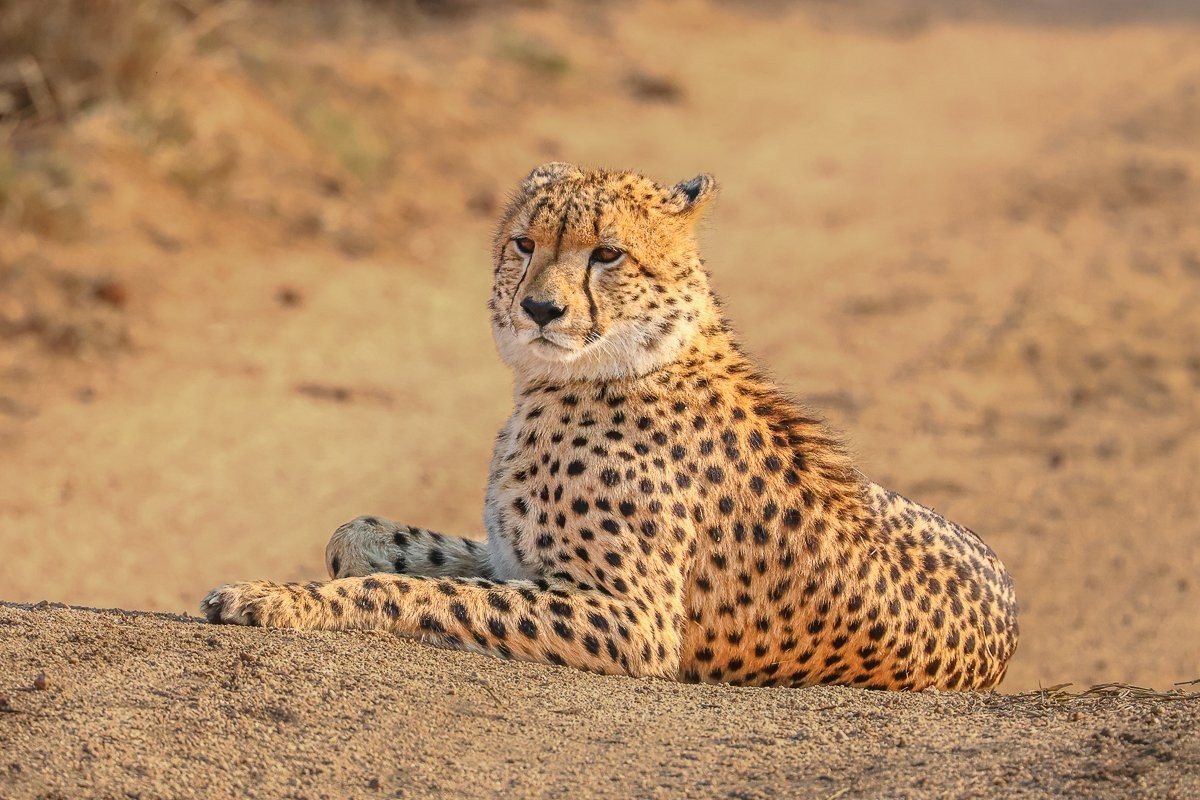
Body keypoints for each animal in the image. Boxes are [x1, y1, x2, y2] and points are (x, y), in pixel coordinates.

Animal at [202, 162, 1019, 691]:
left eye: (607, 253)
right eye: (525, 244)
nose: (540, 309)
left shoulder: (634, 620)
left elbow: (413, 593)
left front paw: (275, 600)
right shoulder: (516, 557)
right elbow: (367, 537)